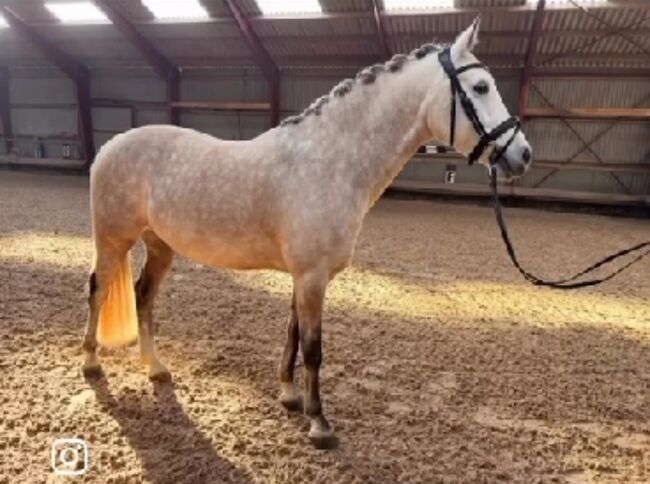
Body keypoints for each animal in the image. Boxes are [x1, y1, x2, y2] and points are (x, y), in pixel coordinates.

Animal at [82, 18, 532, 449]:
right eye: (481, 86)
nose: (523, 154)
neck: (330, 161)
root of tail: (111, 146)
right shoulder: (313, 276)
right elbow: (314, 349)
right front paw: (319, 423)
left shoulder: (304, 277)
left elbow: (293, 334)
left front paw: (289, 396)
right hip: (113, 240)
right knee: (98, 291)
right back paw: (90, 364)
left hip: (160, 246)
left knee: (143, 296)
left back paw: (155, 368)